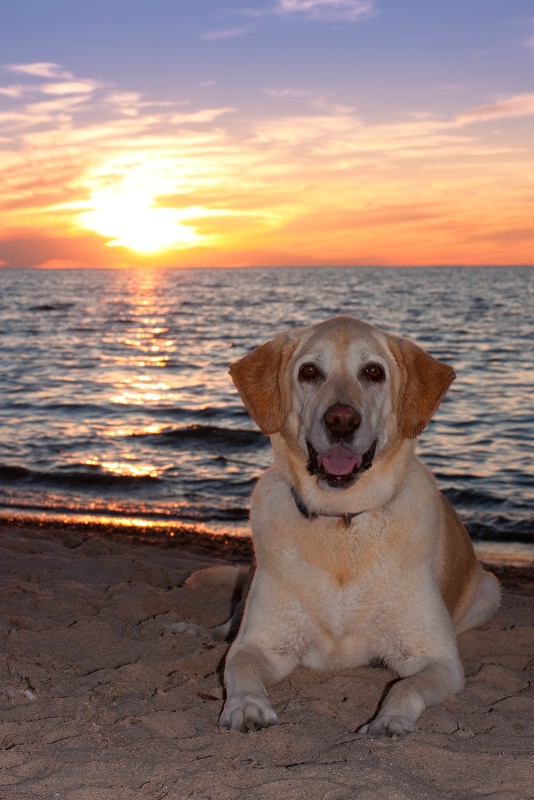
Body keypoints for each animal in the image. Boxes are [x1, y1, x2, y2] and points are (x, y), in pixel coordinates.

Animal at [176, 318, 502, 736]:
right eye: (309, 371)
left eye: (374, 372)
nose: (342, 420)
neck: (342, 523)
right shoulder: (262, 643)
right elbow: (239, 664)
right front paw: (247, 707)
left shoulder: (438, 659)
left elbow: (406, 688)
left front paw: (389, 722)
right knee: (231, 624)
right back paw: (200, 633)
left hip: (489, 592)